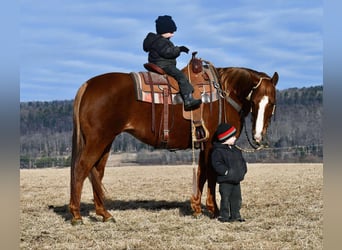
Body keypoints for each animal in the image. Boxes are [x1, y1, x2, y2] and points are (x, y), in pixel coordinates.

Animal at [69, 56, 278, 225]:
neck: (224, 94)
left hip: (106, 142)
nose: (258, 136)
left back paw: (104, 214)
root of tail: (88, 85)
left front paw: (196, 208)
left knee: (96, 172)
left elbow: (201, 174)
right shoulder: (212, 144)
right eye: (255, 100)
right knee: (81, 168)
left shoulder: (202, 144)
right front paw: (214, 210)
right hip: (97, 140)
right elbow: (211, 175)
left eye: (272, 103)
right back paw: (77, 215)